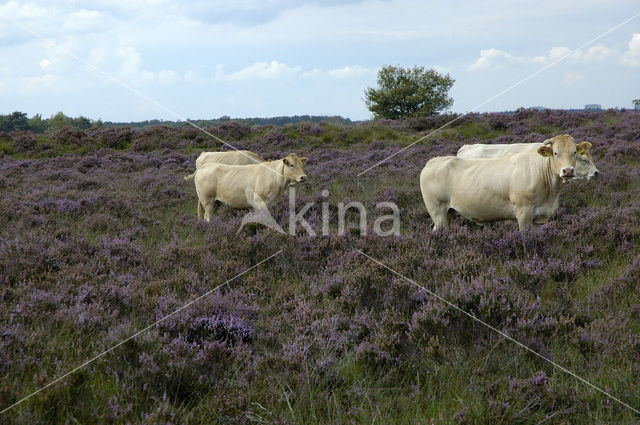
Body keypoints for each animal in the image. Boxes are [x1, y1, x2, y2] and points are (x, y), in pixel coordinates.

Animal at [422, 134, 592, 230]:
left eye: (574, 153)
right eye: (555, 153)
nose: (568, 171)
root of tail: (434, 161)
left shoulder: (538, 217)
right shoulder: (524, 212)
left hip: (448, 213)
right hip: (438, 212)